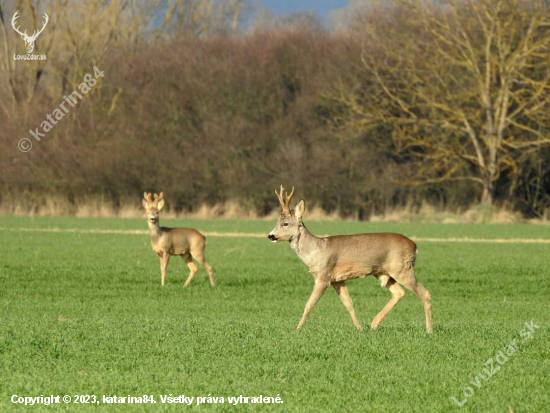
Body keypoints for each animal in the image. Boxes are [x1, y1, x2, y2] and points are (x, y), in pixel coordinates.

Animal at [268, 185, 436, 334]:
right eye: (276, 222)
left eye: (285, 223)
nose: (270, 235)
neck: (316, 250)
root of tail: (415, 246)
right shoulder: (337, 280)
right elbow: (349, 304)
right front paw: (359, 328)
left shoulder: (323, 276)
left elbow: (309, 305)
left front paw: (297, 329)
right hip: (384, 272)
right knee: (399, 293)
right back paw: (374, 324)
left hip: (402, 269)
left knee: (425, 293)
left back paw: (429, 330)